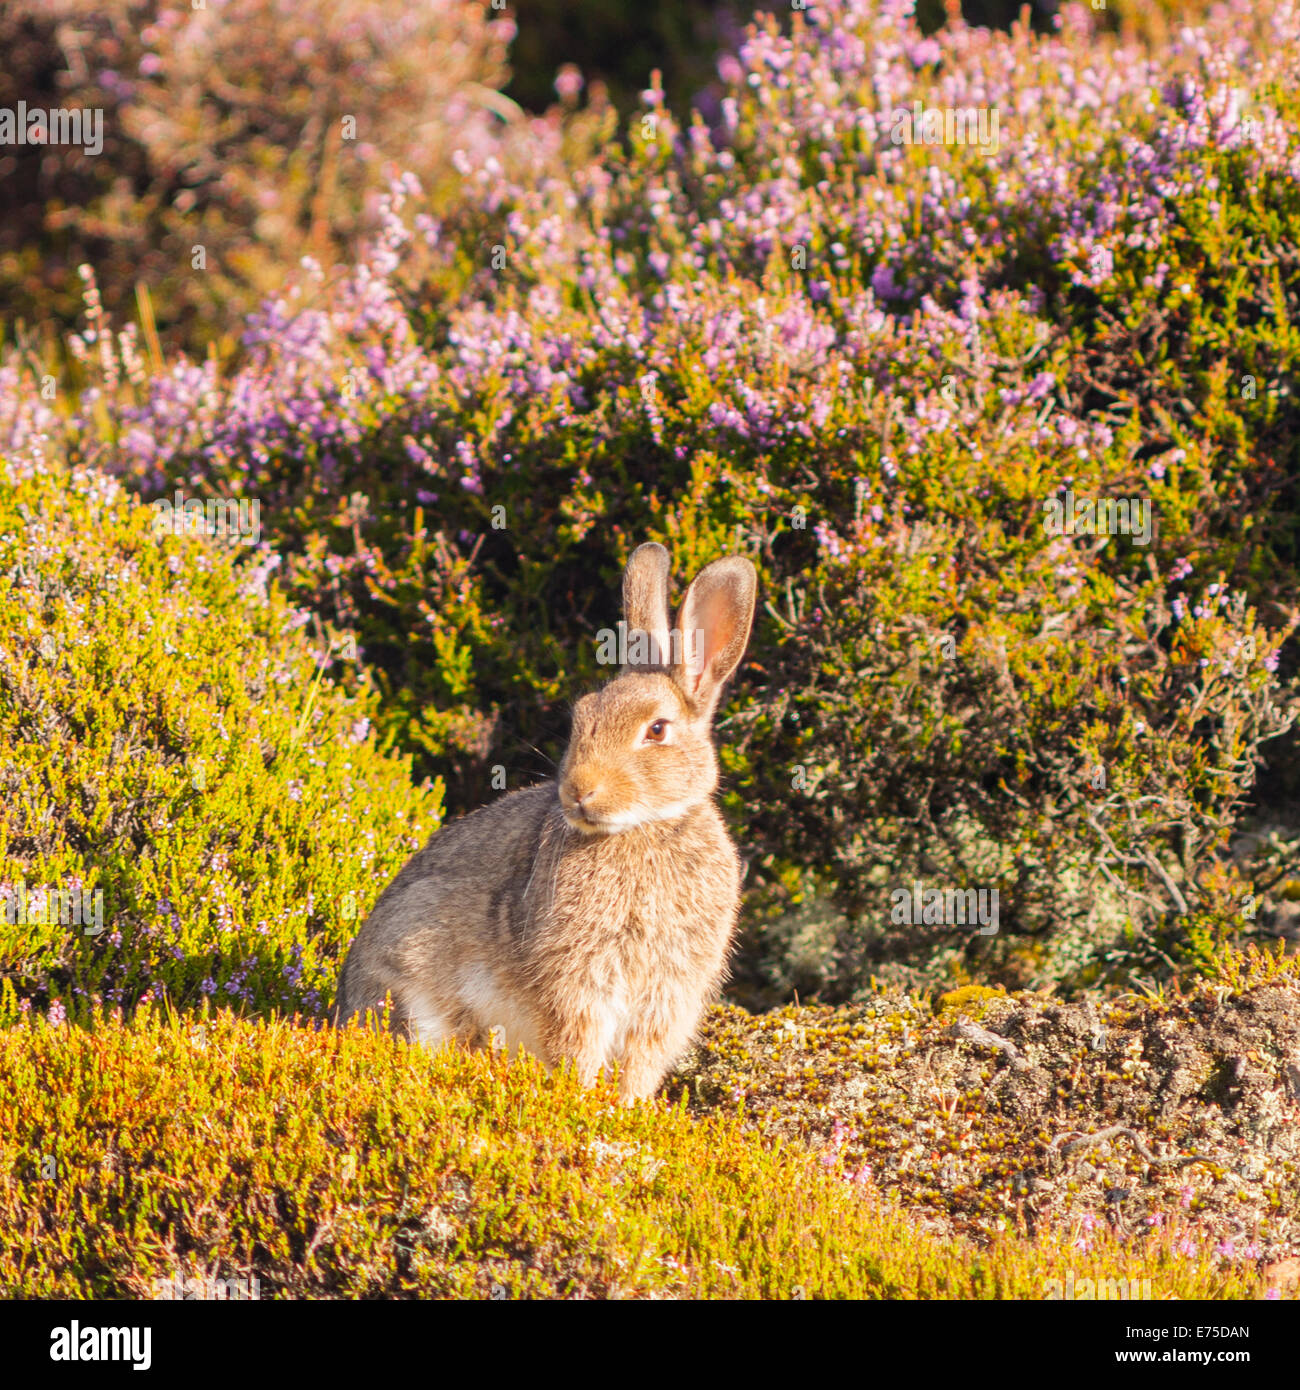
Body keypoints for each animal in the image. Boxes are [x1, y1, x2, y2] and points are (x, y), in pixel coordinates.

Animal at [333, 542, 758, 1103]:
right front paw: (585, 1102)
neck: (641, 828)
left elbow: (639, 1063)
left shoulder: (665, 996)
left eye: (657, 730)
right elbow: (578, 1046)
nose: (579, 790)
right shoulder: (575, 982)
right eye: (581, 718)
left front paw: (629, 1109)